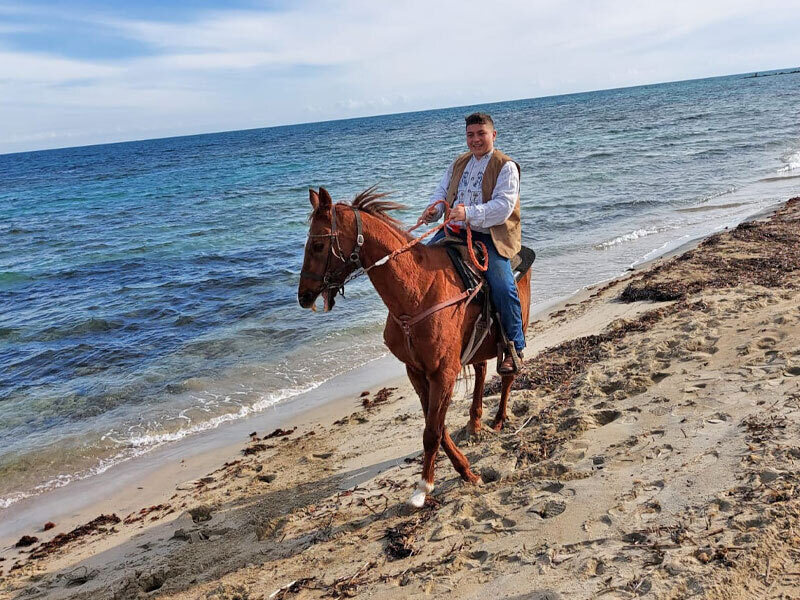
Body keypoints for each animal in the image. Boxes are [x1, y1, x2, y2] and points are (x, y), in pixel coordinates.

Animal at [298, 187, 531, 507]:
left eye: (319, 244)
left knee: (508, 375)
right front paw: (464, 470)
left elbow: (432, 431)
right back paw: (474, 423)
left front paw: (424, 487)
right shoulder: (417, 371)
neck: (417, 292)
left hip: (517, 329)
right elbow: (437, 426)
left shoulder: (443, 373)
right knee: (482, 372)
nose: (304, 296)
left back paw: (498, 419)